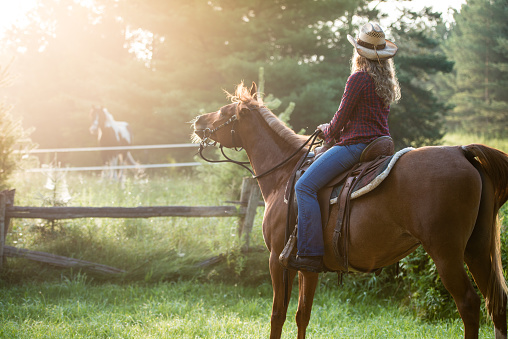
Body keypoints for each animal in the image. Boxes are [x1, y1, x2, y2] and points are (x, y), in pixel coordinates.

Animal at [191, 83, 508, 339]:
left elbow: (277, 316)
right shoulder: (306, 265)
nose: (197, 121)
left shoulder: (278, 261)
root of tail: (462, 151)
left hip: (446, 254)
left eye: (224, 111)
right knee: (497, 304)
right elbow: (302, 315)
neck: (285, 174)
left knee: (469, 304)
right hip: (477, 249)